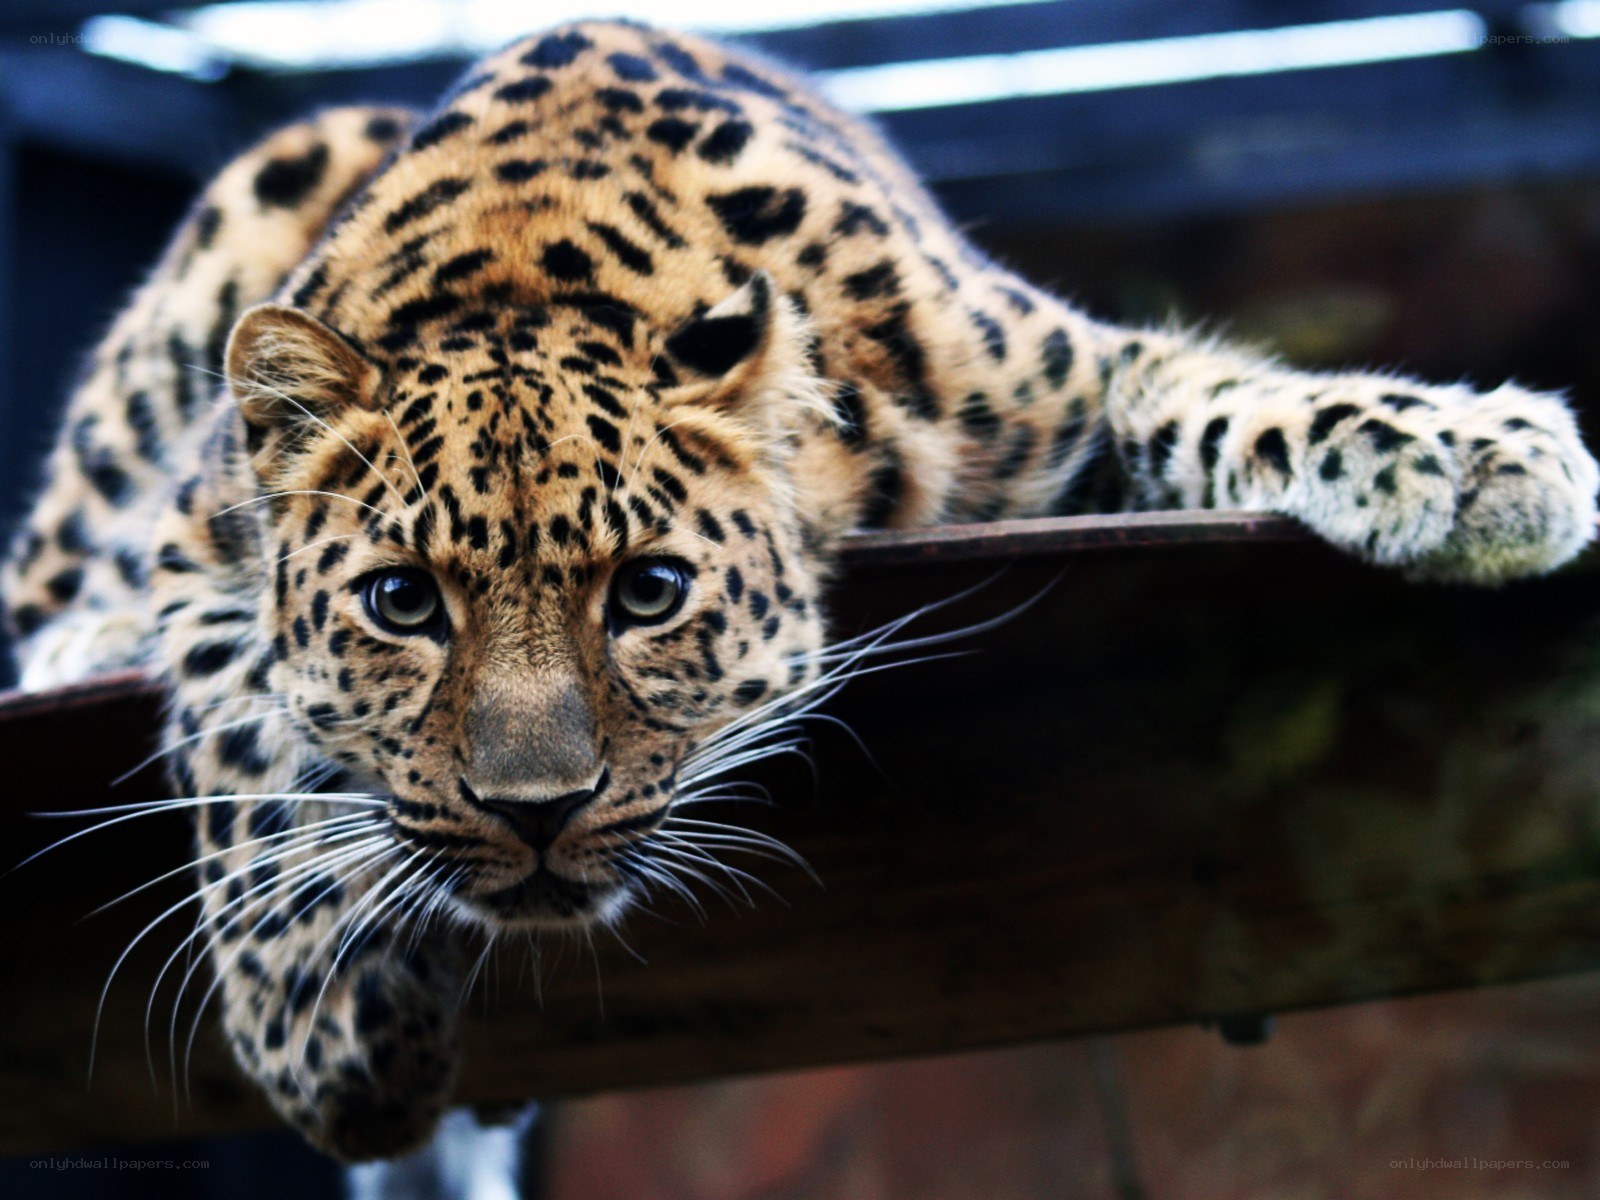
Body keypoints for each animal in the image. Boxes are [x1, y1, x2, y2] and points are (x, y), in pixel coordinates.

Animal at [3, 20, 1596, 1162]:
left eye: (648, 592)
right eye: (402, 604)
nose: (534, 814)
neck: (526, 272)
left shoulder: (1059, 384)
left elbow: (1220, 395)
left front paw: (1478, 459)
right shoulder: (203, 546)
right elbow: (242, 764)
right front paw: (332, 1036)